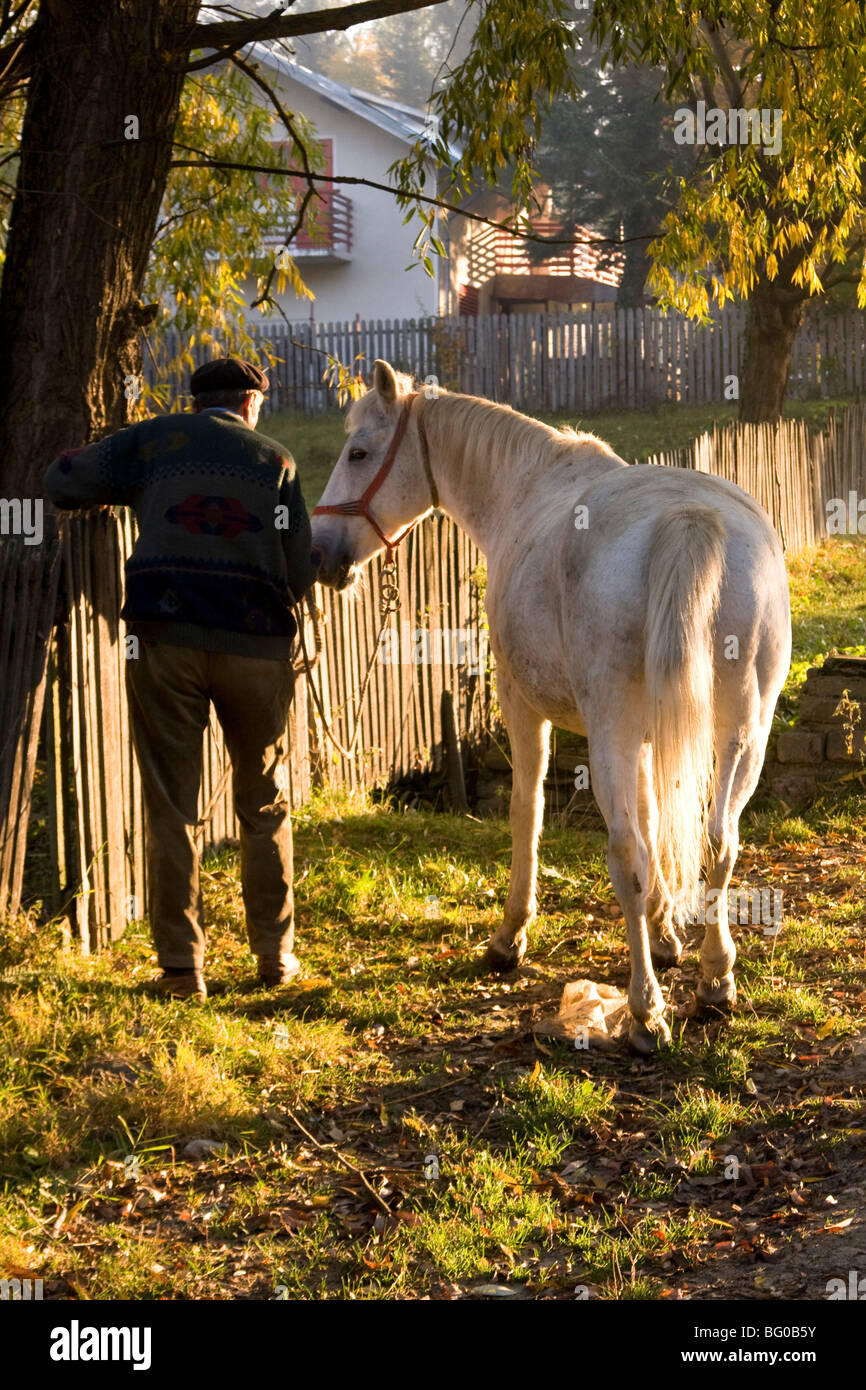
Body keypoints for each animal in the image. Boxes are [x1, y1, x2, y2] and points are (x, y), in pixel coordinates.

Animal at [311, 364, 795, 1045]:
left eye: (358, 452)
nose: (320, 553)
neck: (524, 487)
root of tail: (692, 520)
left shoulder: (522, 704)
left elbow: (527, 809)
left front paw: (509, 935)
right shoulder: (647, 739)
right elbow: (656, 817)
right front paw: (666, 933)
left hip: (616, 729)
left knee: (629, 854)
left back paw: (646, 1012)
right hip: (743, 732)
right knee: (719, 843)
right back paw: (715, 981)